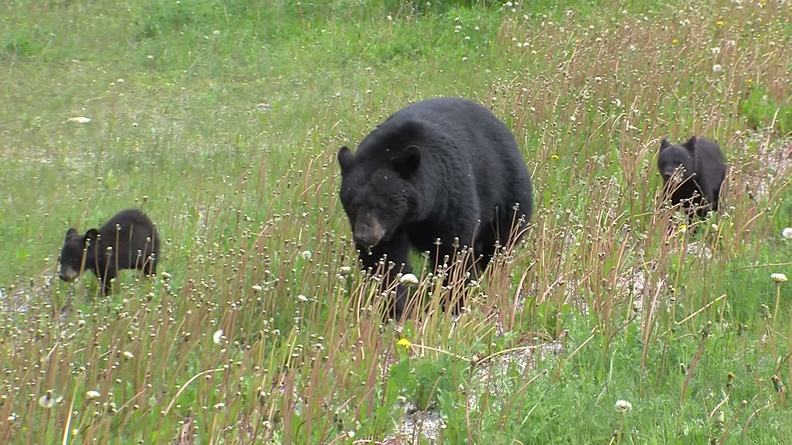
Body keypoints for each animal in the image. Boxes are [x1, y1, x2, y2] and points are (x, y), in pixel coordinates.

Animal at [337, 97, 534, 320]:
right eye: (353, 204)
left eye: (380, 204)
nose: (363, 236)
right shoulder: (390, 228)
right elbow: (385, 261)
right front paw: (394, 310)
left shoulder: (450, 197)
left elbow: (454, 250)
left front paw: (453, 304)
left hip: (507, 197)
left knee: (498, 246)